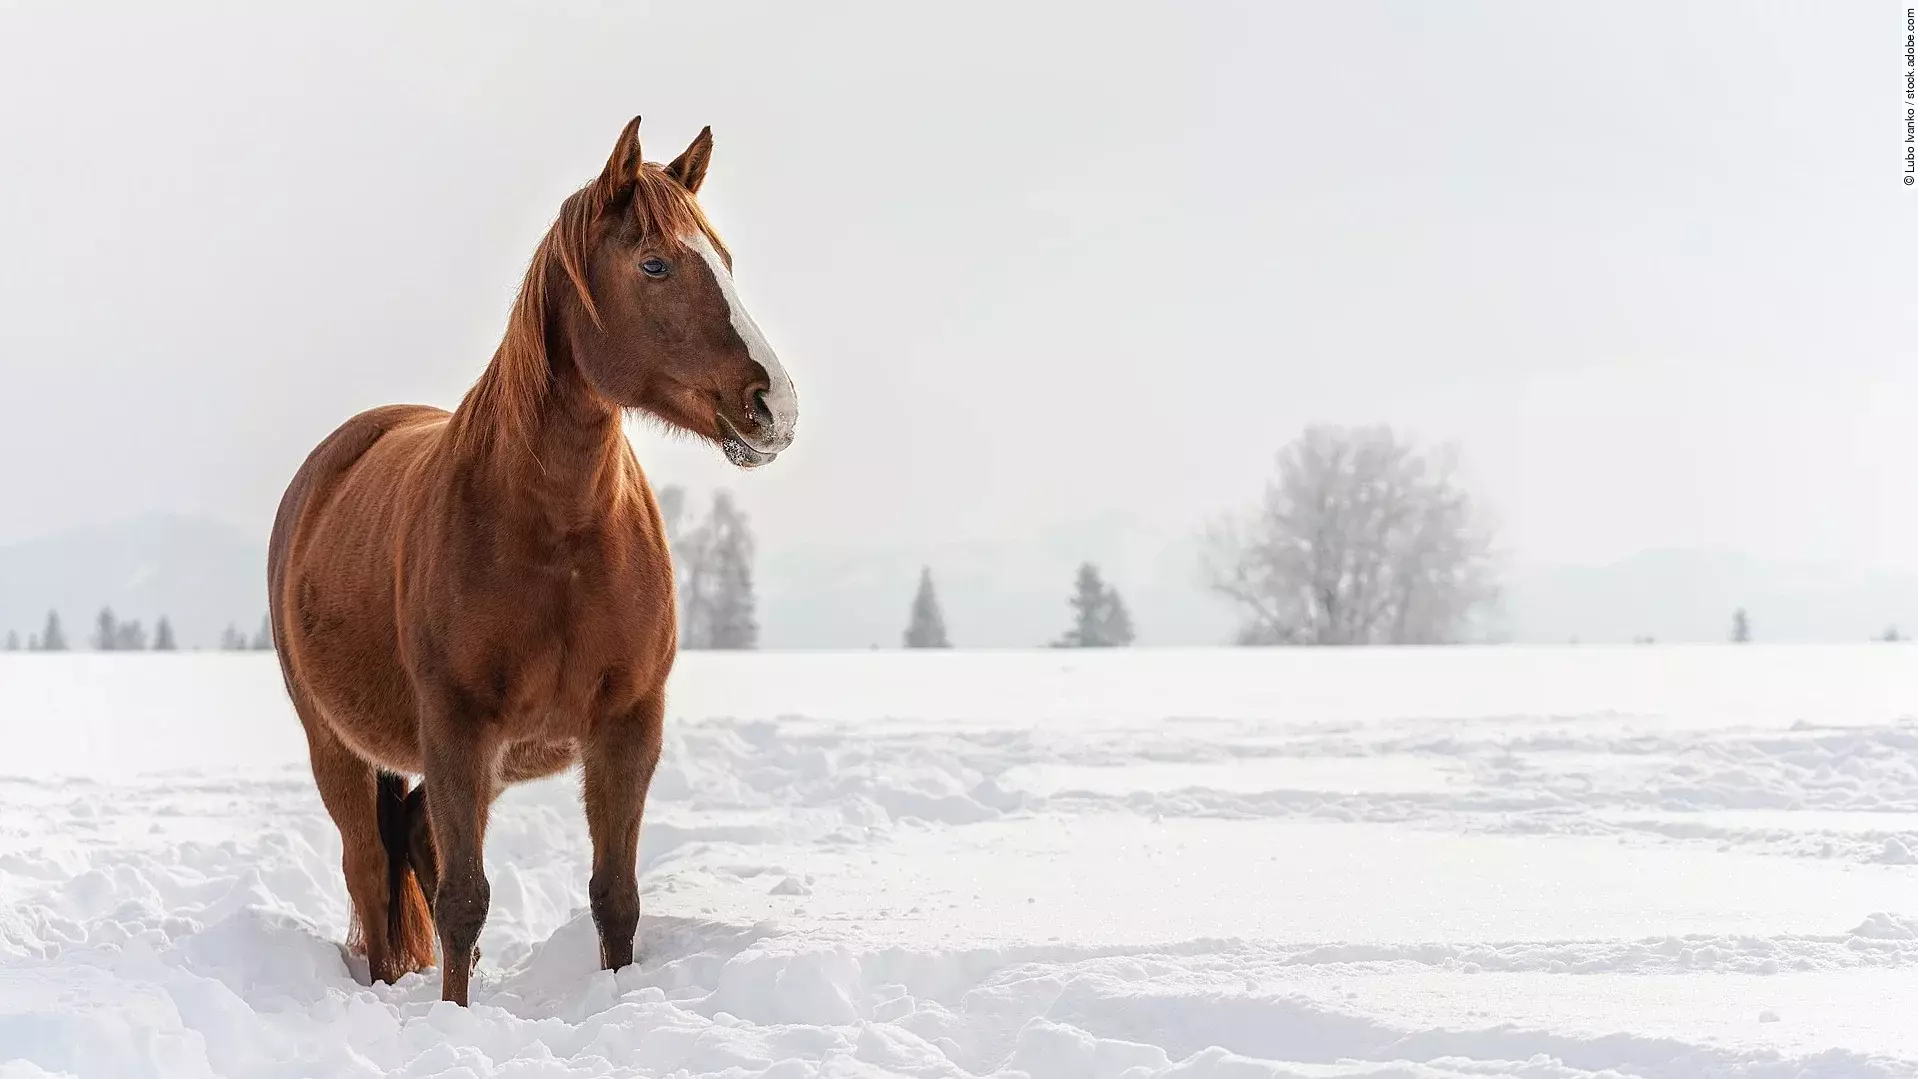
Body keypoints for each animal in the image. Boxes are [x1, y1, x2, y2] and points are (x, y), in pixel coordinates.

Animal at [266, 116, 797, 1006]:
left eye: (725, 260)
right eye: (655, 263)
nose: (775, 406)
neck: (559, 537)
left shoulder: (627, 725)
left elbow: (616, 897)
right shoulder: (456, 726)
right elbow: (461, 900)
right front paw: (454, 1016)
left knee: (413, 836)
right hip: (338, 746)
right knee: (371, 872)